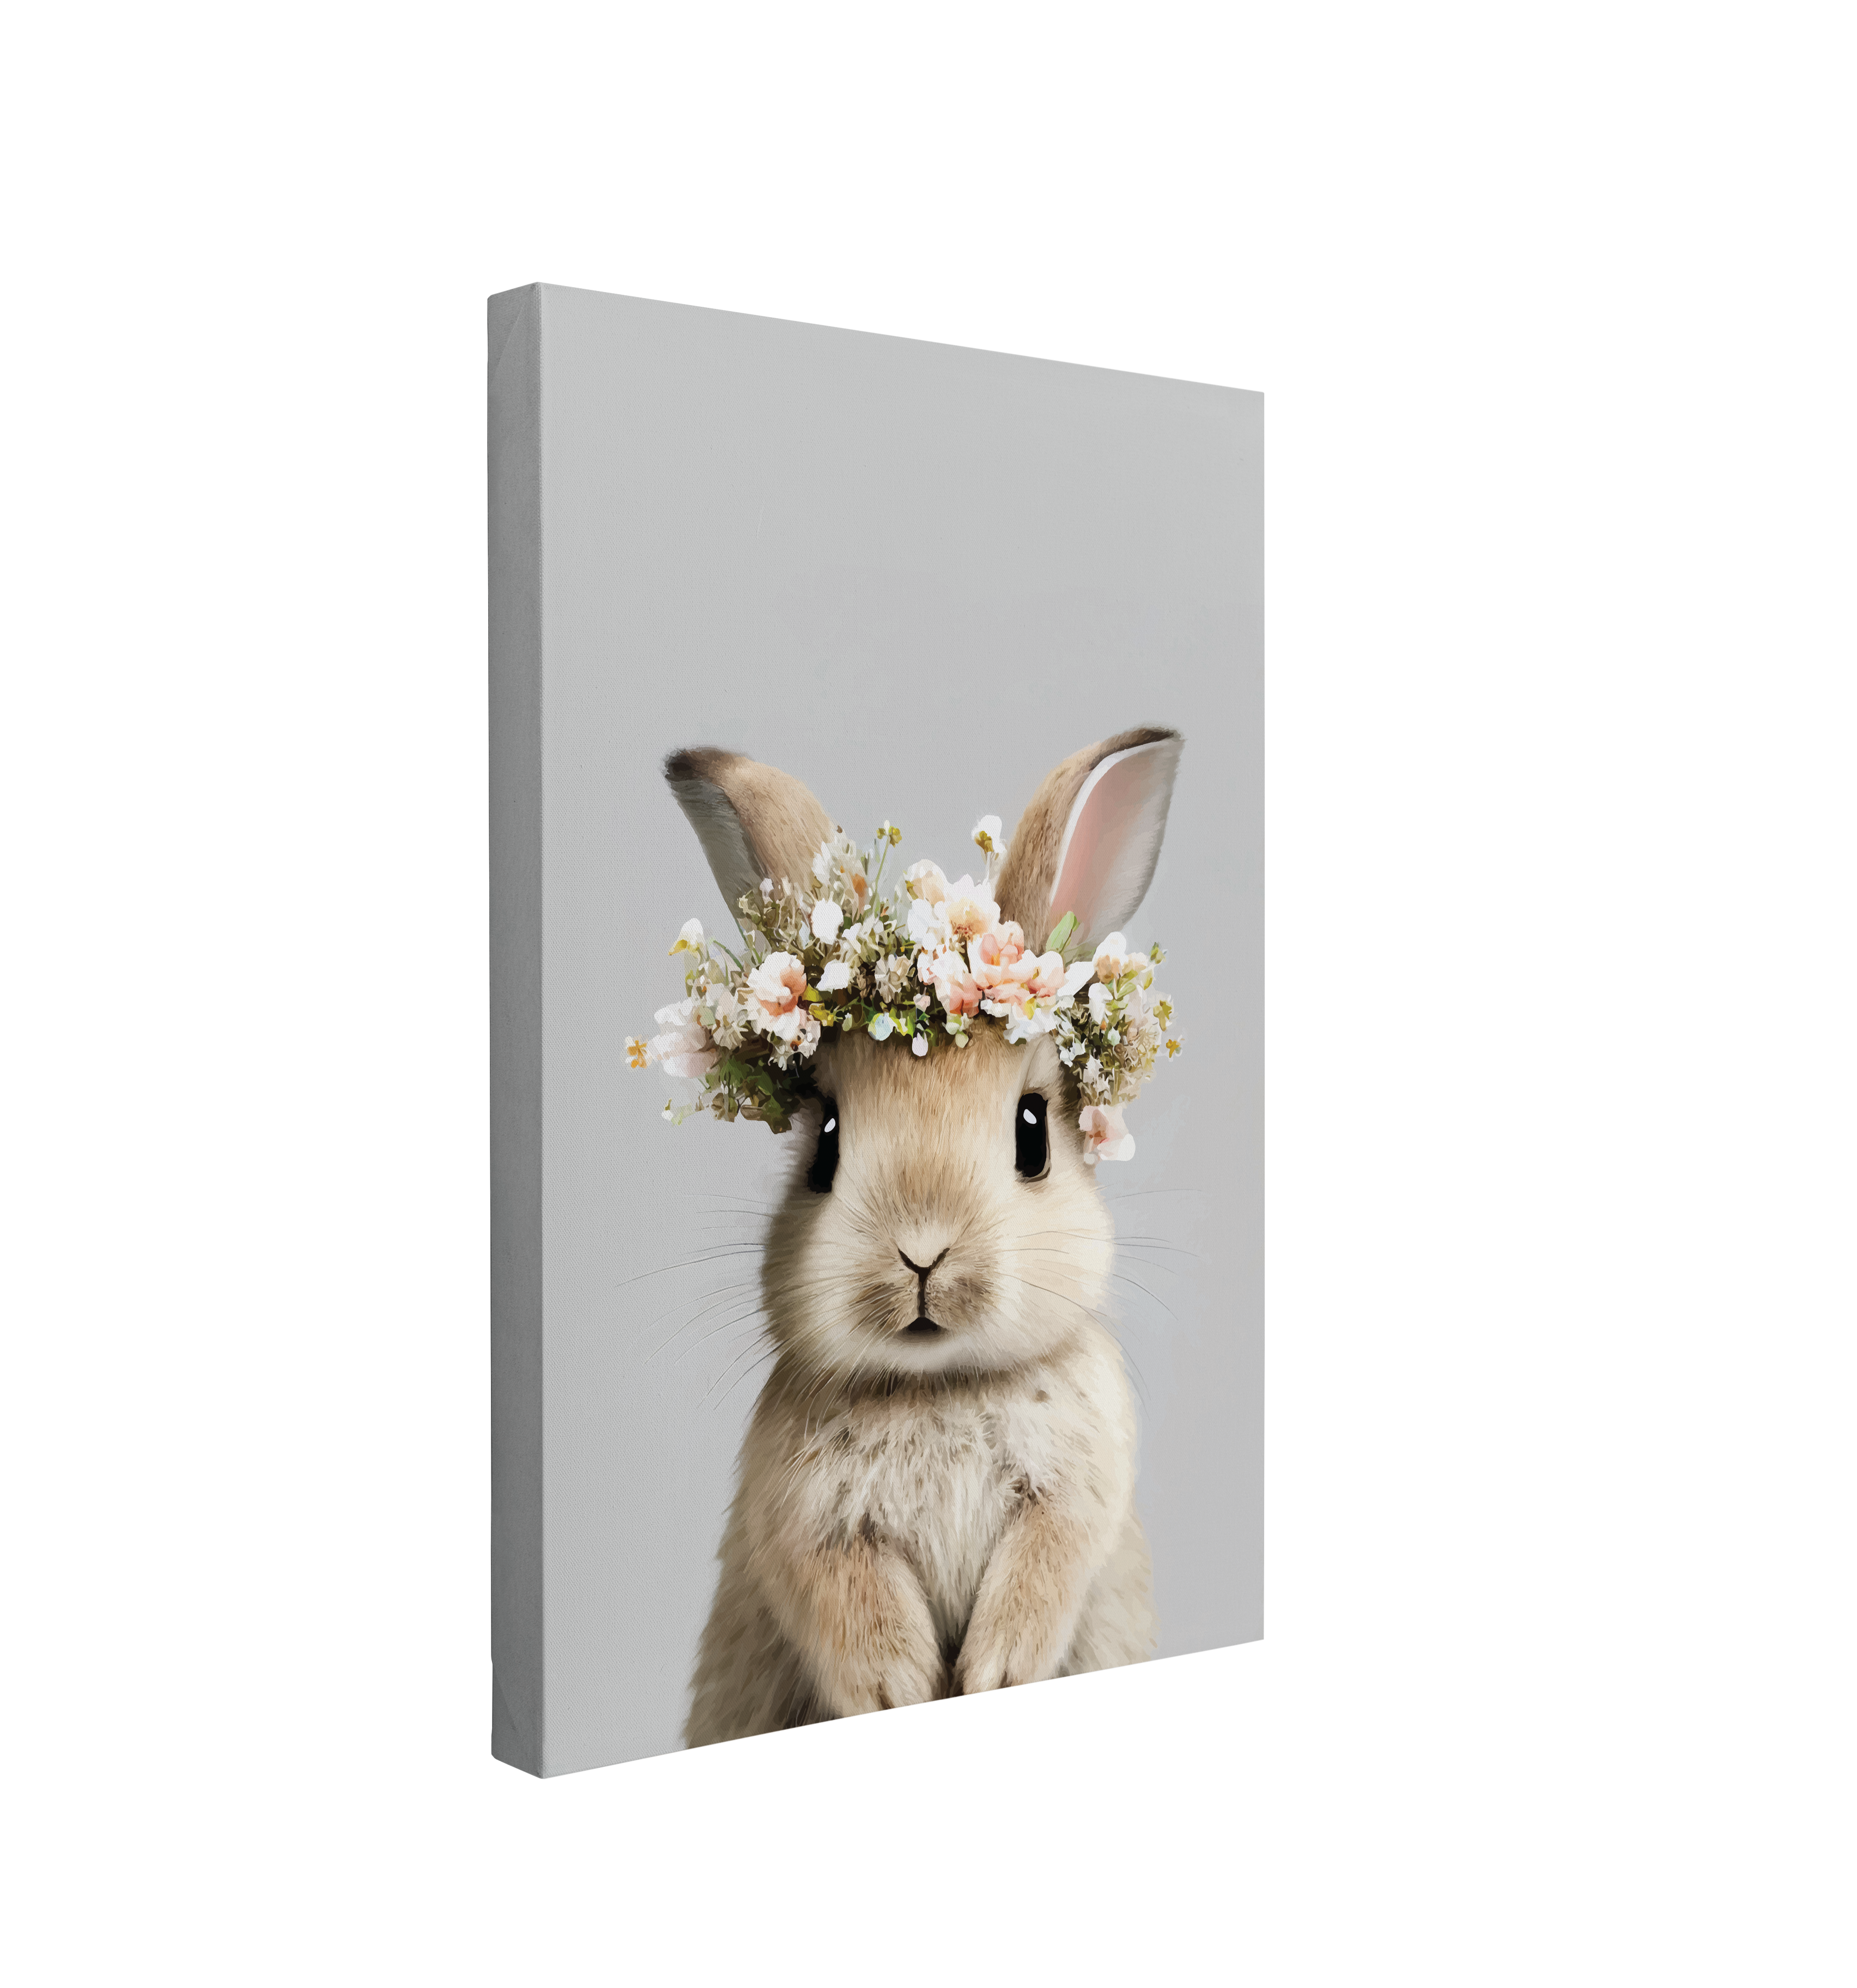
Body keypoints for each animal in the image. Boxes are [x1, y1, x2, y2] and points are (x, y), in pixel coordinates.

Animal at [670, 727, 1183, 1746]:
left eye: (1032, 1134)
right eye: (825, 1144)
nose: (920, 1254)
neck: (939, 1384)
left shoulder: (1077, 1492)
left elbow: (1044, 1566)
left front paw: (993, 1675)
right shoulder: (806, 1525)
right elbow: (846, 1599)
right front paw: (898, 1692)